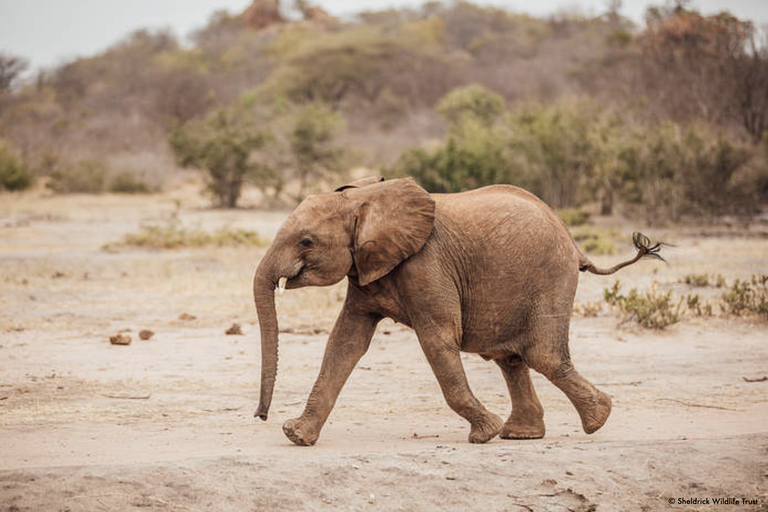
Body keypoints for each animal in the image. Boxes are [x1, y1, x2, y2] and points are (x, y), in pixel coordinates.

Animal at [250, 176, 660, 444]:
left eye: (306, 241)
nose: (260, 416)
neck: (362, 198)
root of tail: (575, 243)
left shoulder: (425, 265)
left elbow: (437, 341)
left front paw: (484, 433)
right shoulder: (366, 269)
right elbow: (345, 343)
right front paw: (297, 436)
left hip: (551, 276)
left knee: (542, 355)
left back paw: (596, 420)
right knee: (511, 358)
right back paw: (522, 434)